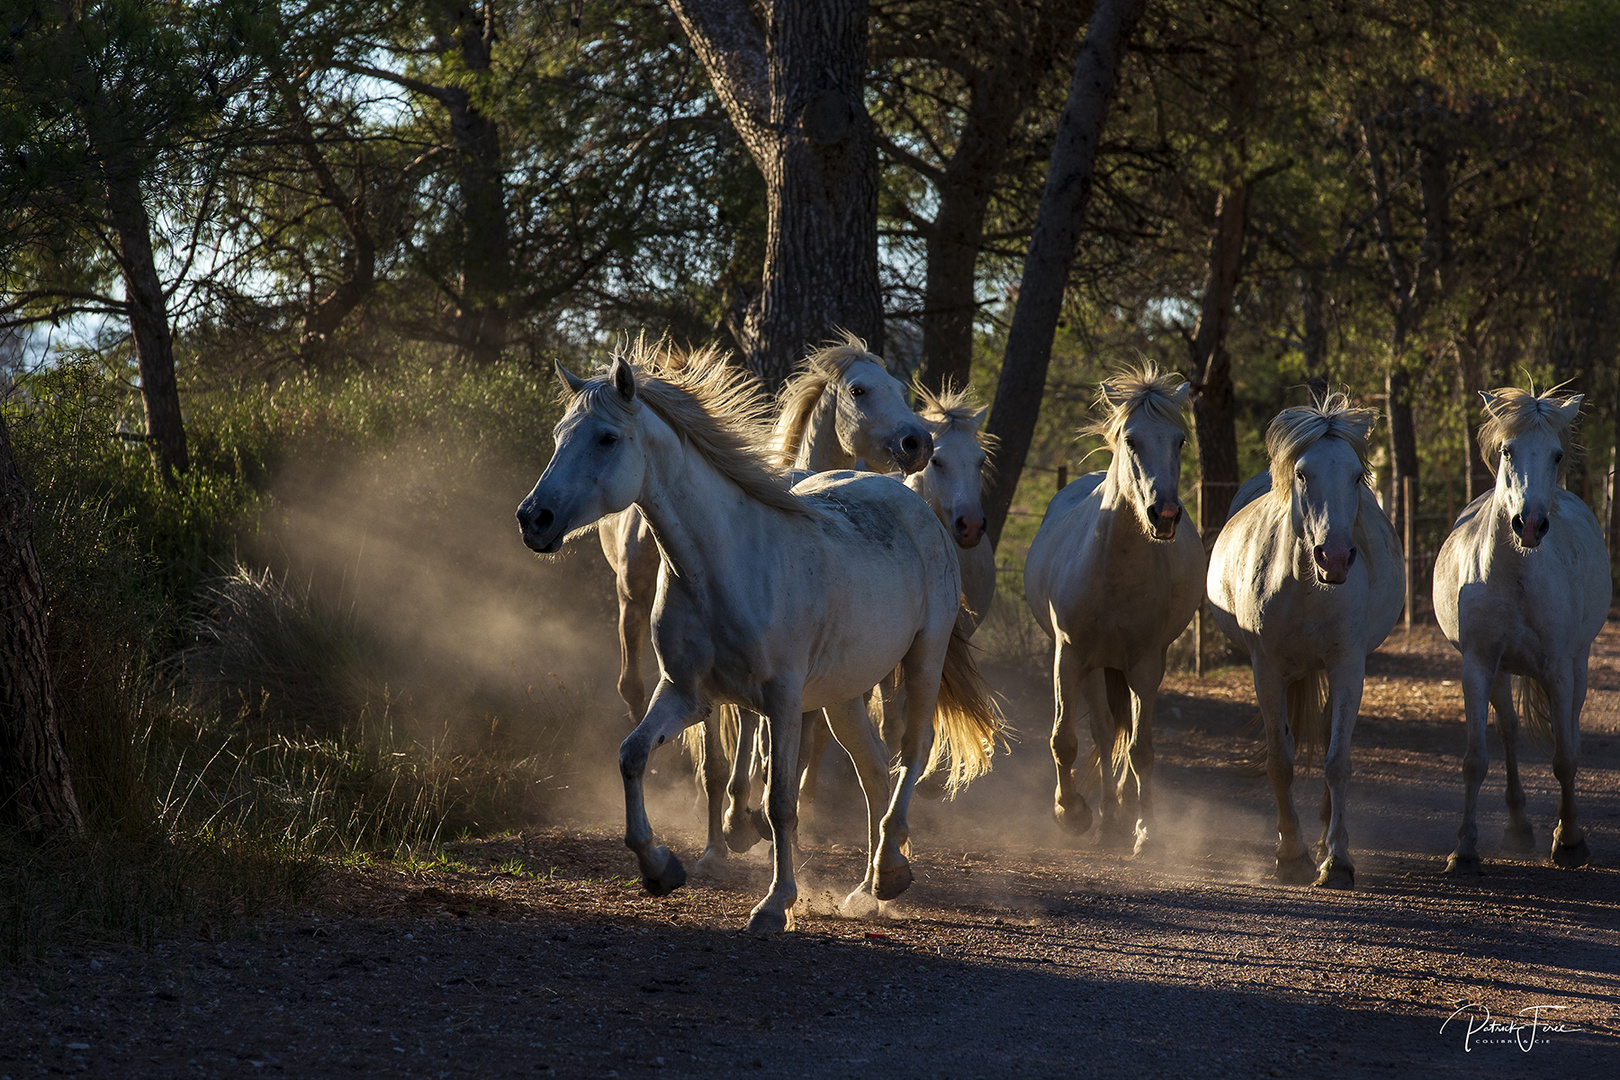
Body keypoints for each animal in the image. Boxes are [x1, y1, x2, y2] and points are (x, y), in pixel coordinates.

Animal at [518, 344, 997, 932]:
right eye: (560, 434)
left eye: (606, 438)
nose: (533, 518)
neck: (723, 563)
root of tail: (910, 499)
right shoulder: (687, 693)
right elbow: (633, 755)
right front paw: (661, 868)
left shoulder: (782, 699)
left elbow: (781, 801)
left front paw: (775, 903)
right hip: (841, 693)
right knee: (873, 766)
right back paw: (869, 889)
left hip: (923, 656)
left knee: (913, 750)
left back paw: (887, 873)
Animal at [1023, 365, 1205, 854]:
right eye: (1131, 439)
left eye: (1180, 440)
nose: (1165, 514)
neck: (1112, 572)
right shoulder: (1068, 656)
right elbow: (1065, 740)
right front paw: (1071, 813)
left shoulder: (1145, 662)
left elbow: (1141, 749)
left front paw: (1147, 831)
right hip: (1093, 666)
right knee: (1105, 736)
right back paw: (1106, 819)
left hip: (1128, 666)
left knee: (1124, 738)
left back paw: (1121, 815)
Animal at [1205, 395, 1406, 887]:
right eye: (1301, 473)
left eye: (1356, 475)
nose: (1333, 557)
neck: (1306, 587)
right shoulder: (1267, 669)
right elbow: (1281, 761)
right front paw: (1291, 855)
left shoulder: (1349, 664)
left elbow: (1337, 762)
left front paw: (1336, 860)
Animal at [1432, 383, 1607, 874]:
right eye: (1506, 450)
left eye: (1556, 454)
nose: (1529, 525)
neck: (1518, 575)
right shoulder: (1477, 665)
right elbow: (1476, 759)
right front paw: (1464, 849)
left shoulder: (1559, 670)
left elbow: (1564, 758)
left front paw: (1569, 841)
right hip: (1501, 671)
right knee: (1508, 730)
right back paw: (1517, 825)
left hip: (1579, 664)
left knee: (1571, 731)